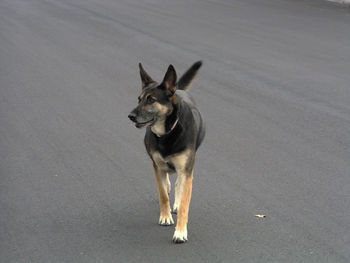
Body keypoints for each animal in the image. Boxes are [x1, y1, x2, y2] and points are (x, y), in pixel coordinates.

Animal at [129, 60, 205, 244]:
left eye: (151, 100)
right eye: (139, 99)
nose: (130, 116)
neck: (167, 132)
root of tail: (180, 89)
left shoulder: (186, 170)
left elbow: (184, 203)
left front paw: (180, 232)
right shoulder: (157, 167)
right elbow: (163, 193)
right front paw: (165, 216)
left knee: (179, 185)